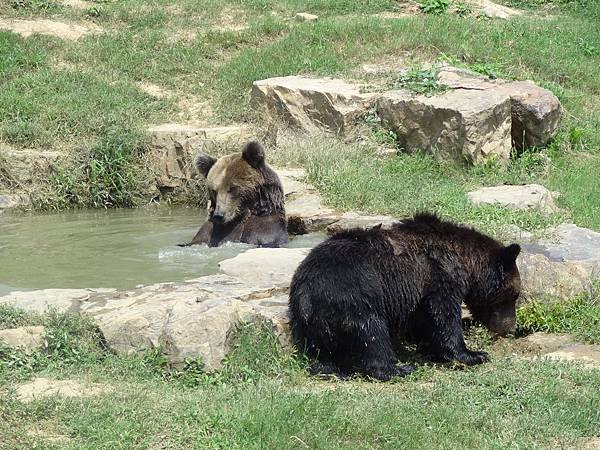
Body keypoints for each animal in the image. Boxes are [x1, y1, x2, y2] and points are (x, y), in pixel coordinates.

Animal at [290, 213, 520, 382]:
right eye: (513, 296)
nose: (510, 327)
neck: (466, 262)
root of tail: (305, 292)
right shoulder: (440, 274)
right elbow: (444, 315)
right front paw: (474, 354)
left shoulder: (418, 292)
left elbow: (425, 320)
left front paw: (430, 349)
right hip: (350, 299)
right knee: (372, 333)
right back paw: (398, 368)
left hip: (314, 318)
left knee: (323, 350)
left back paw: (332, 368)